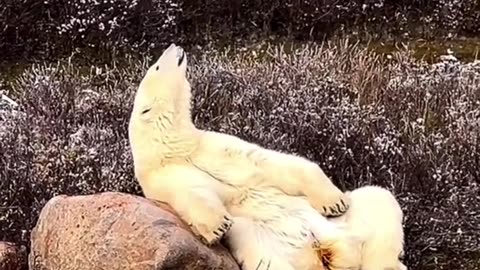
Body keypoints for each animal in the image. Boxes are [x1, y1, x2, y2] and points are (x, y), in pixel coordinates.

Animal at [128, 43, 364, 268]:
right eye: (157, 67)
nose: (174, 46)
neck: (177, 146)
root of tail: (314, 251)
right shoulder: (163, 174)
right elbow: (190, 192)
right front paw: (219, 226)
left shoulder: (214, 147)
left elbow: (271, 163)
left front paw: (335, 203)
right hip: (264, 248)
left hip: (323, 226)